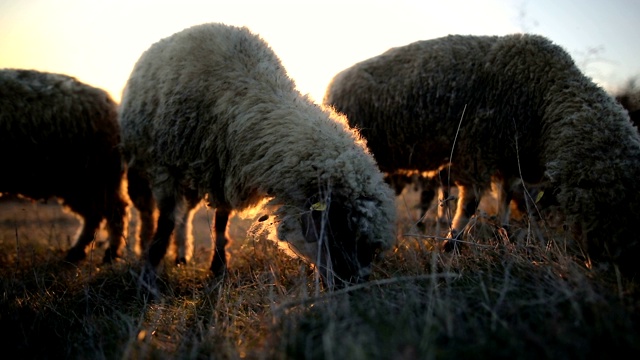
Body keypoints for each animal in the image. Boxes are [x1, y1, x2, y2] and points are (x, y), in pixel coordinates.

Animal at [0, 69, 130, 262]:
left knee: (113, 211)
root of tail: (110, 102)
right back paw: (78, 252)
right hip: (84, 179)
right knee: (96, 214)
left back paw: (109, 253)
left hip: (92, 175)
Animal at [120, 22, 398, 288]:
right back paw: (143, 250)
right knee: (149, 213)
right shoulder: (168, 167)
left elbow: (220, 224)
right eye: (339, 230)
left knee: (185, 214)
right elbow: (165, 222)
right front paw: (148, 278)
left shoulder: (222, 171)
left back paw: (181, 255)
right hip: (140, 166)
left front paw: (218, 269)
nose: (351, 286)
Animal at [324, 33, 640, 276]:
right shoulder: (476, 150)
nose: (612, 267)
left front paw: (506, 238)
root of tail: (333, 84)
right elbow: (470, 204)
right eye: (605, 201)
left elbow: (505, 200)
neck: (544, 97)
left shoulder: (509, 161)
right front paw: (451, 244)